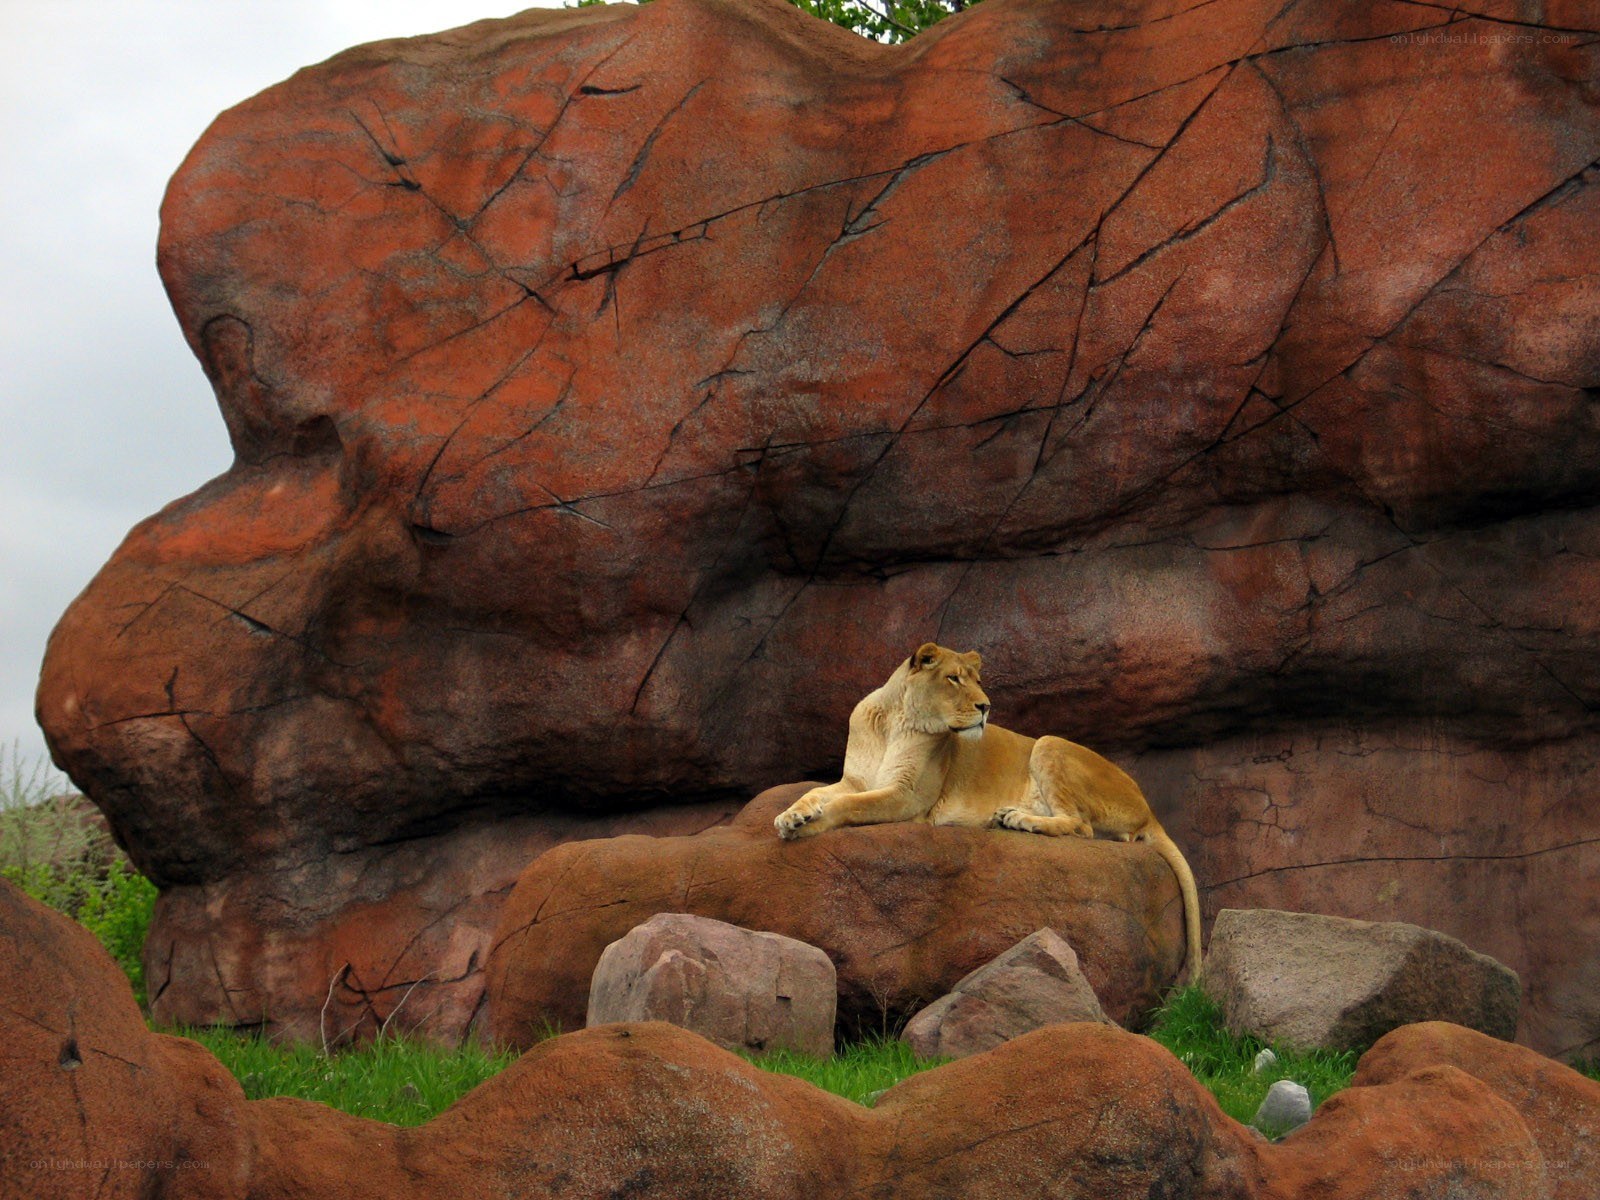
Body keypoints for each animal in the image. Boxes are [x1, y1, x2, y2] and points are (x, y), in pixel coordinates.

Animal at [774, 642, 1202, 980]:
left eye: (977, 681)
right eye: (953, 679)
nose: (986, 707)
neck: (894, 720)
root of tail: (1148, 809)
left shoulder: (908, 797)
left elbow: (846, 805)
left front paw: (808, 826)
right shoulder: (855, 780)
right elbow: (816, 792)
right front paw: (791, 816)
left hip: (1048, 742)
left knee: (1079, 826)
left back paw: (1017, 819)